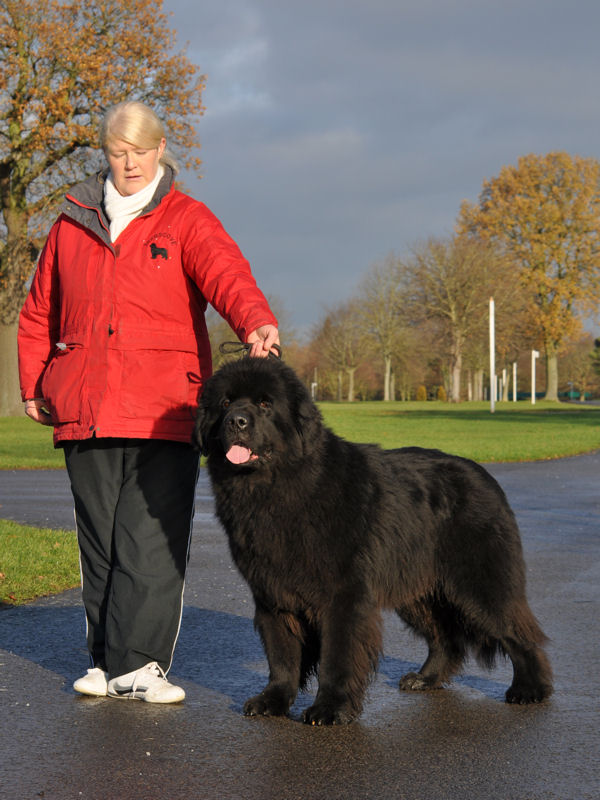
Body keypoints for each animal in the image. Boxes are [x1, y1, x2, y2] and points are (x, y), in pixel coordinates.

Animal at [193, 356, 552, 724]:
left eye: (265, 403)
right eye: (225, 402)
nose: (237, 420)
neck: (276, 488)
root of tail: (484, 476)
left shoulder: (343, 596)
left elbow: (336, 657)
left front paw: (330, 708)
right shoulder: (272, 594)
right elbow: (282, 655)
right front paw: (272, 700)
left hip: (479, 584)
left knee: (518, 632)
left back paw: (530, 689)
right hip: (418, 590)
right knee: (446, 638)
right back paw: (426, 678)